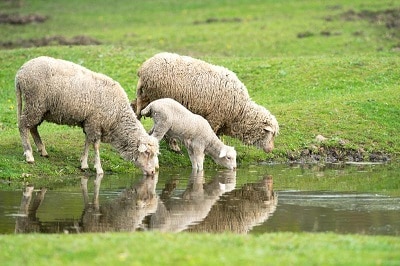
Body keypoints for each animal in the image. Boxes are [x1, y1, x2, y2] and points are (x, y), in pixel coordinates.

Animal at [15, 56, 160, 177]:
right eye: (147, 153)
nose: (153, 172)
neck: (117, 118)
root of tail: (20, 72)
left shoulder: (89, 122)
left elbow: (87, 142)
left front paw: (83, 163)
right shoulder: (95, 122)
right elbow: (95, 145)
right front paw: (98, 168)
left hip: (40, 108)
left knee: (32, 127)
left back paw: (42, 150)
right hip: (34, 102)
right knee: (23, 126)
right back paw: (29, 155)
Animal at [133, 51, 280, 153]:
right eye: (270, 134)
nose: (270, 150)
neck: (239, 112)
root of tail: (143, 69)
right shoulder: (216, 116)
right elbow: (212, 132)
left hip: (145, 96)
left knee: (135, 109)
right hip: (159, 99)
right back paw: (174, 146)